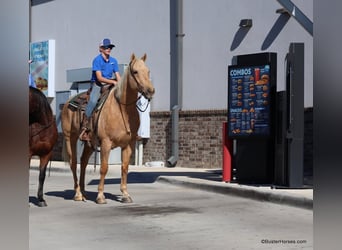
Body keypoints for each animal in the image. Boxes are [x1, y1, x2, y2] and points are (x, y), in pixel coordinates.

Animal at [61, 53, 155, 204]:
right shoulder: (106, 142)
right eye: (135, 71)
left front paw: (125, 194)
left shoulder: (128, 144)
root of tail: (68, 102)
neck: (122, 109)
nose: (150, 91)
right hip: (70, 138)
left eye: (148, 71)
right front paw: (100, 196)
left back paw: (84, 192)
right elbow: (104, 168)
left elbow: (124, 167)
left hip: (89, 142)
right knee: (73, 162)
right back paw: (78, 194)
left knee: (83, 161)